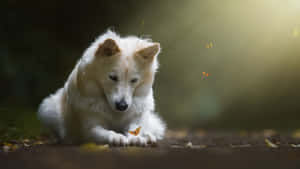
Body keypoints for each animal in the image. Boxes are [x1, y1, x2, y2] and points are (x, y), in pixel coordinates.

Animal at [38, 30, 166, 147]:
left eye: (134, 80)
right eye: (113, 77)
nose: (122, 106)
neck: (115, 113)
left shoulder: (136, 118)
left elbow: (135, 129)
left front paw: (138, 137)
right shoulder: (90, 128)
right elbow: (106, 133)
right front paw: (117, 137)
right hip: (48, 109)